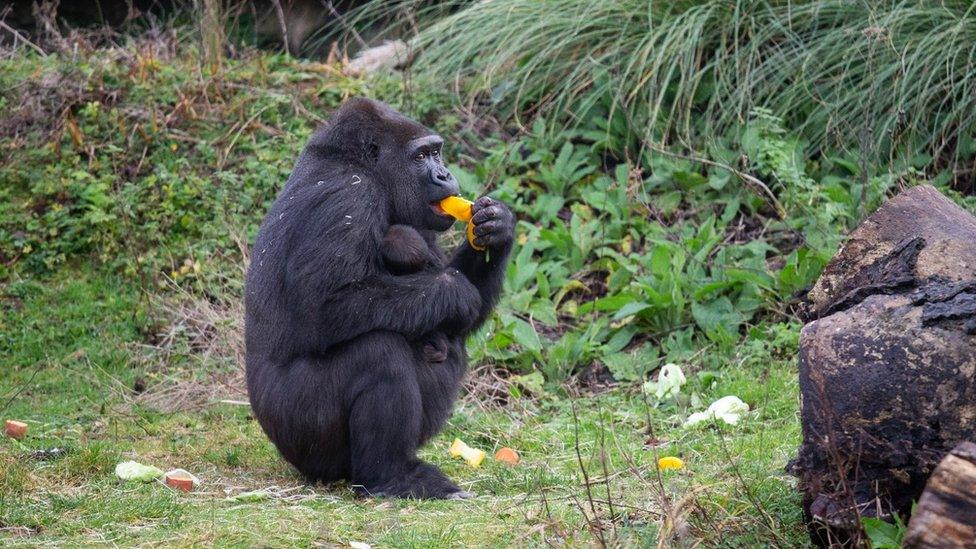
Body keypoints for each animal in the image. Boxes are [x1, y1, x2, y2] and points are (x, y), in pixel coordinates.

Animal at [244, 96, 516, 498]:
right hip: (297, 436)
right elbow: (328, 307)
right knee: (379, 353)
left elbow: (460, 317)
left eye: (436, 152)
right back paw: (389, 474)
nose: (445, 175)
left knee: (446, 346)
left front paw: (498, 227)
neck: (357, 163)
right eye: (421, 157)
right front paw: (451, 290)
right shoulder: (350, 197)